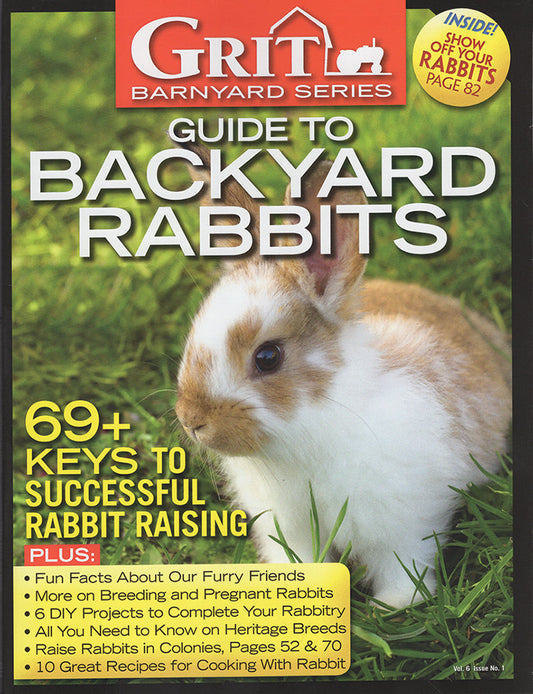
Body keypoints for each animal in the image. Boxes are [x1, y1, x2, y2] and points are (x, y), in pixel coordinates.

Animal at [174, 144, 512, 608]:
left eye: (267, 357)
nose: (192, 420)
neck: (312, 430)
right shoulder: (289, 527)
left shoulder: (405, 523)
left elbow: (404, 564)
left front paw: (396, 604)